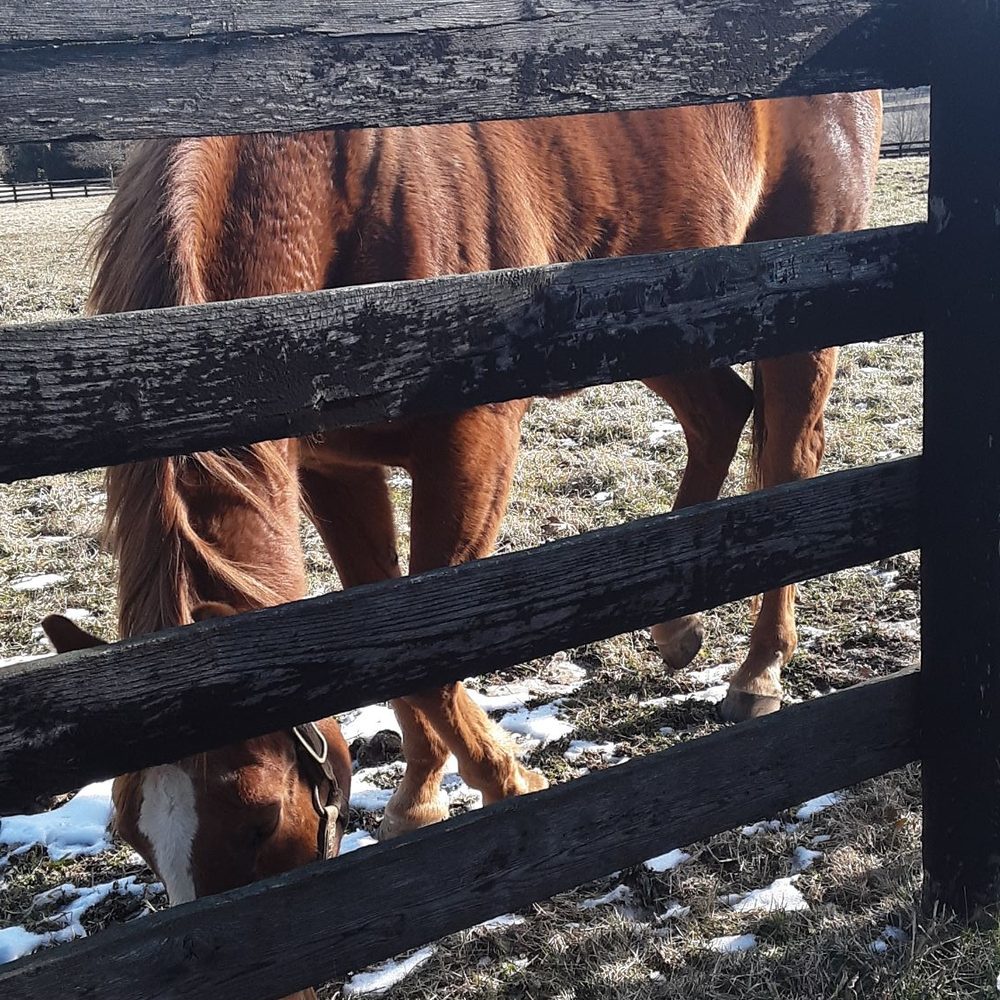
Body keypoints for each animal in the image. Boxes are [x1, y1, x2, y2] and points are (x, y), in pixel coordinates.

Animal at [41, 95, 880, 959]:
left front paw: (506, 784)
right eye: (132, 832)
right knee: (719, 416)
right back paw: (677, 627)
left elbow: (428, 648)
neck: (342, 182)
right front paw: (421, 794)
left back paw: (759, 671)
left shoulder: (471, 452)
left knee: (787, 462)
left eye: (261, 817)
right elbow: (382, 636)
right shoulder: (332, 470)